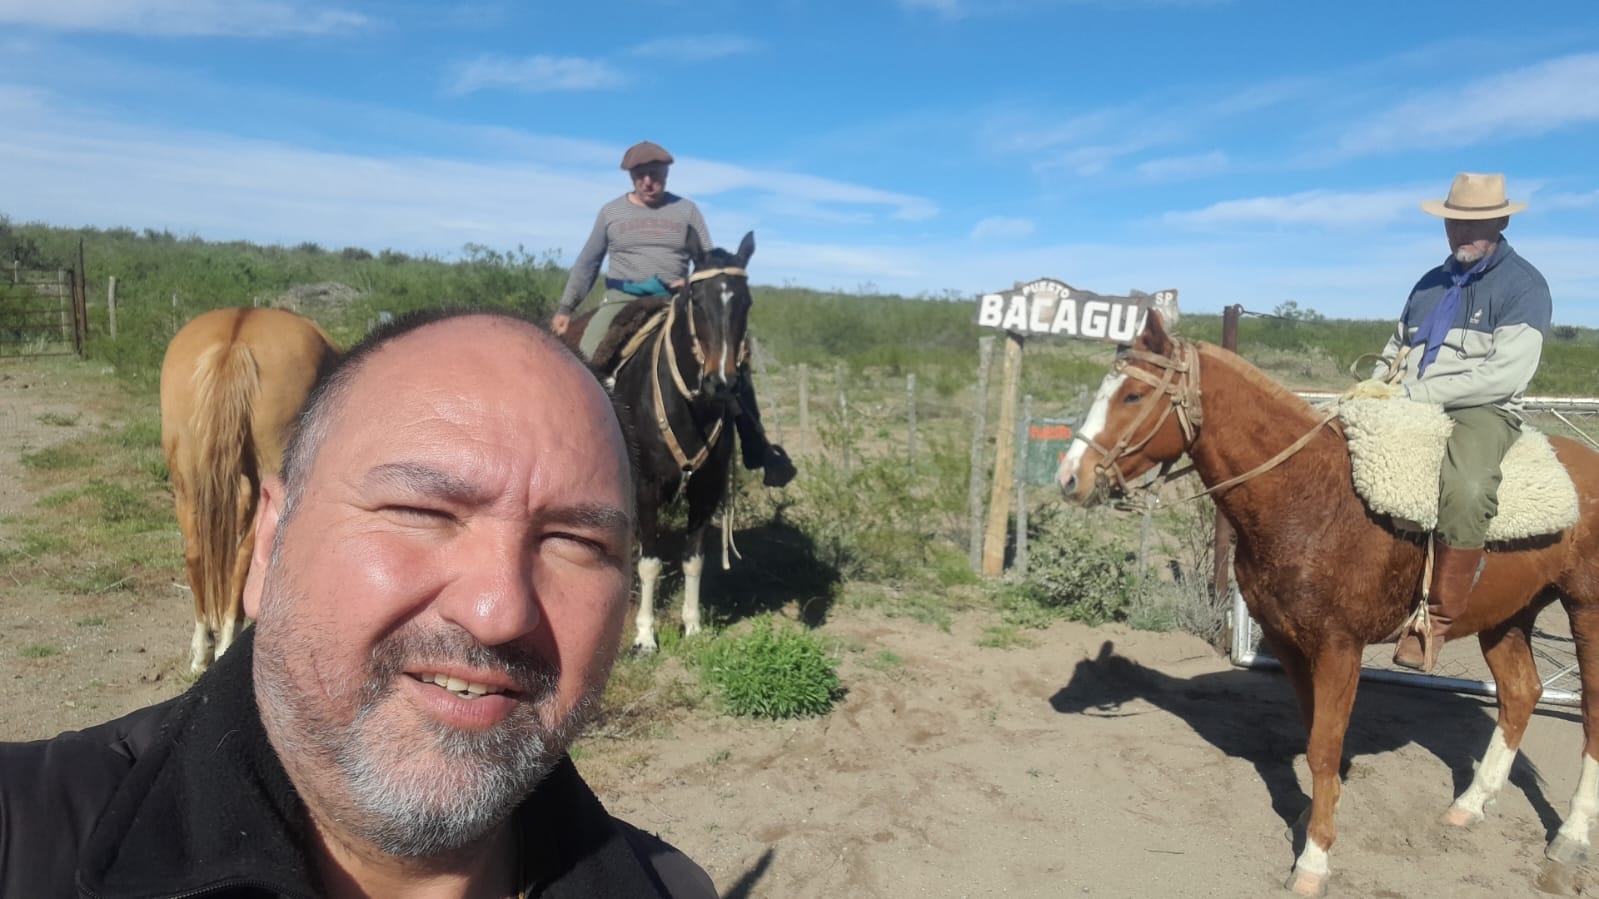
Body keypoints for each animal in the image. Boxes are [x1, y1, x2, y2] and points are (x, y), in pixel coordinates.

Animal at [159, 307, 340, 673]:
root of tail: (237, 335)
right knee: (248, 550)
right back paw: (227, 637)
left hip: (185, 477)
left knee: (196, 551)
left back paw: (203, 648)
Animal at [565, 231, 756, 652]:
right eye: (695, 299)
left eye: (746, 301)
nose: (722, 382)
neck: (688, 406)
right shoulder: (647, 487)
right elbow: (650, 562)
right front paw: (644, 635)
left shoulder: (706, 489)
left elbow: (694, 558)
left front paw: (693, 625)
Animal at [1055, 311, 1599, 896]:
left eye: (1133, 394)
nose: (1069, 478)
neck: (1310, 499)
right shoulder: (1288, 642)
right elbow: (1315, 733)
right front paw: (1312, 814)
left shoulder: (1340, 647)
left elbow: (1323, 746)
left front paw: (1313, 859)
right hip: (1507, 617)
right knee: (1520, 693)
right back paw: (1470, 805)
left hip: (1585, 611)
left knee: (1589, 713)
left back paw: (1569, 837)